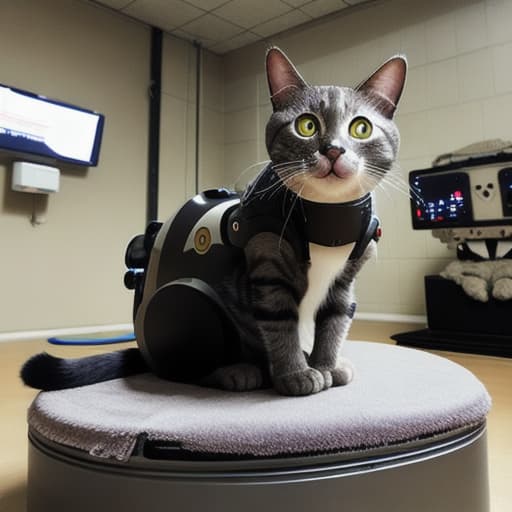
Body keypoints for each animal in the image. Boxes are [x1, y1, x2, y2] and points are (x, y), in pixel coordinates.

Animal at [20, 49, 406, 396]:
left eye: (361, 128)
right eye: (307, 125)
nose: (334, 150)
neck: (328, 220)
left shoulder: (345, 280)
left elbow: (334, 323)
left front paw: (326, 364)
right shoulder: (267, 269)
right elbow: (281, 325)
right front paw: (295, 374)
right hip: (191, 305)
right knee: (183, 366)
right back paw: (238, 372)